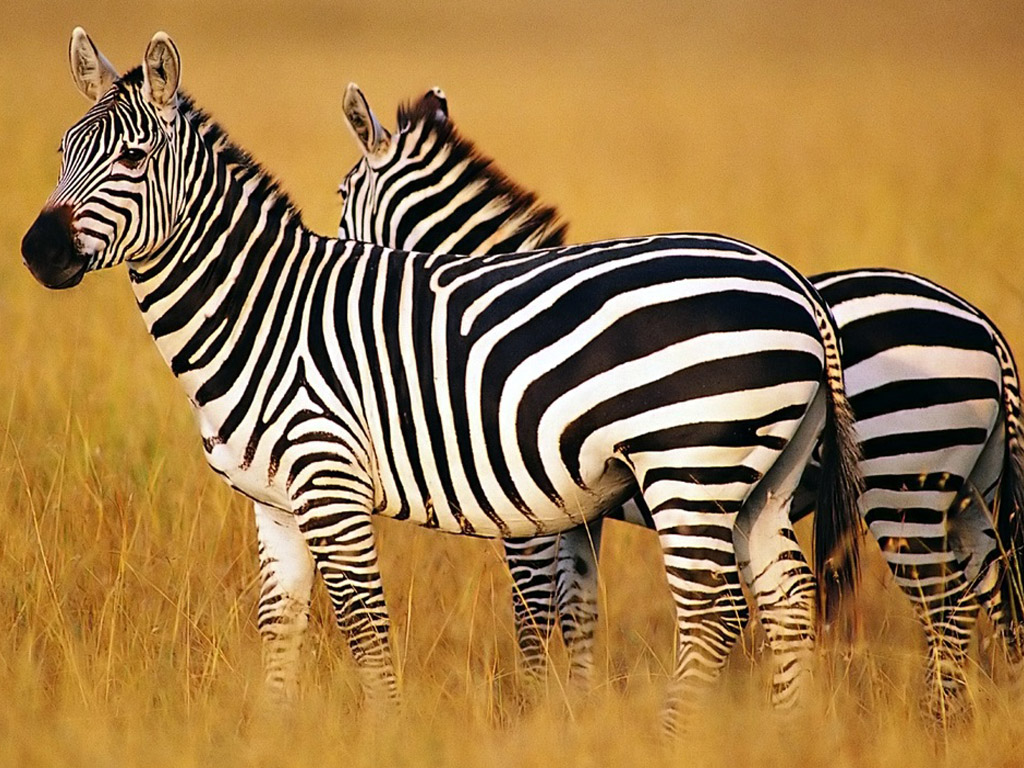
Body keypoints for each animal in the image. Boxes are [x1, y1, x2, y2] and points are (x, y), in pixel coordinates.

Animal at [21, 29, 864, 733]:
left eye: (133, 158)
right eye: (63, 150)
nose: (36, 250)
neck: (265, 311)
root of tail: (795, 284)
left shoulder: (343, 486)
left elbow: (373, 625)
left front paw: (397, 735)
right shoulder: (276, 506)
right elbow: (280, 628)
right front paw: (274, 735)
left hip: (691, 464)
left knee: (714, 612)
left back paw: (672, 738)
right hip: (760, 480)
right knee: (787, 600)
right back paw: (788, 733)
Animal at [335, 85, 1024, 719]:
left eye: (343, 194)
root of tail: (985, 327)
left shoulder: (531, 504)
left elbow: (534, 612)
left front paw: (532, 710)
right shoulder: (575, 509)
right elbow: (579, 607)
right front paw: (578, 711)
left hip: (901, 482)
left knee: (947, 608)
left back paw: (939, 722)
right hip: (969, 493)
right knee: (999, 596)